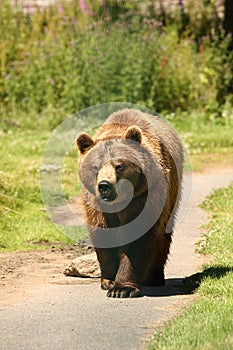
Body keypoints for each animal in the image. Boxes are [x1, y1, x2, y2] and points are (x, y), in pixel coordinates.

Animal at [75, 108, 183, 298]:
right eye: (95, 167)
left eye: (118, 165)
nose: (105, 186)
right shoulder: (96, 205)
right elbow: (103, 232)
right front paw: (108, 280)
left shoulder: (144, 197)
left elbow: (137, 237)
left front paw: (122, 288)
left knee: (163, 235)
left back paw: (154, 277)